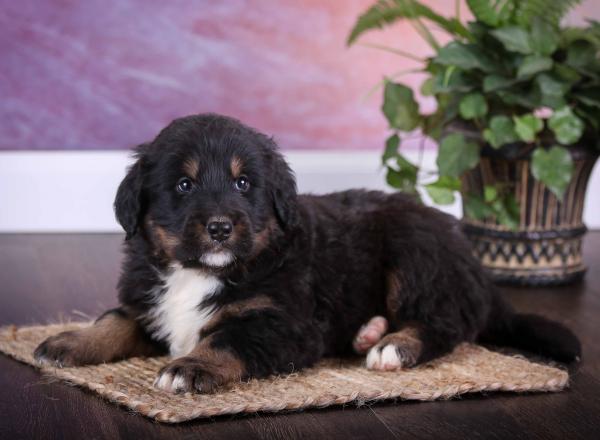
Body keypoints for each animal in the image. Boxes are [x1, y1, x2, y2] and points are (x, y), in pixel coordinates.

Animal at [34, 113, 580, 392]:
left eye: (243, 183)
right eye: (184, 185)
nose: (219, 227)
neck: (199, 272)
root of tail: (470, 258)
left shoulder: (282, 322)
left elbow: (226, 340)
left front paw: (191, 367)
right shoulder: (149, 300)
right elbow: (114, 320)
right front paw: (68, 342)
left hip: (414, 253)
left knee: (445, 324)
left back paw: (392, 347)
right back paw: (368, 332)